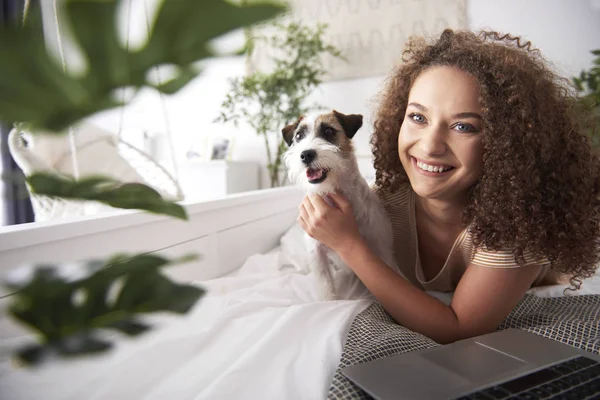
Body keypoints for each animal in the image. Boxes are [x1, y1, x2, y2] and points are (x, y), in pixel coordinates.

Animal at [282, 109, 404, 300]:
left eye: (329, 131)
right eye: (299, 136)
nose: (306, 154)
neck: (334, 192)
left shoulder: (382, 248)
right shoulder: (317, 254)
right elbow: (325, 285)